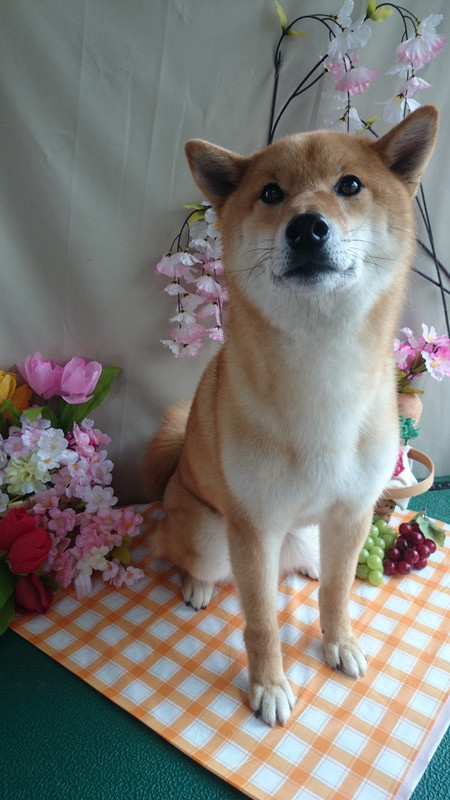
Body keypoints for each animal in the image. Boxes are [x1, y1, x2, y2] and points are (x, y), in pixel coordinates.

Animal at [144, 105, 438, 726]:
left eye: (349, 185)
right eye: (271, 193)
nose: (306, 228)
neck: (323, 372)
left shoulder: (352, 513)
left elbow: (337, 594)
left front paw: (339, 641)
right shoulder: (253, 529)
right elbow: (260, 622)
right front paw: (269, 686)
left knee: (315, 565)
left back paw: (308, 565)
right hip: (211, 534)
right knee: (186, 555)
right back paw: (197, 585)